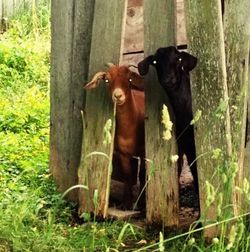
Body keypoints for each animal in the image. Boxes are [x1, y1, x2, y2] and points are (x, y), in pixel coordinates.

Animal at [84, 64, 146, 210]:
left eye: (129, 79)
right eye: (107, 80)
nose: (118, 96)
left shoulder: (144, 151)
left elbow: (142, 175)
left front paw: (141, 204)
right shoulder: (123, 153)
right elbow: (127, 175)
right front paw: (126, 204)